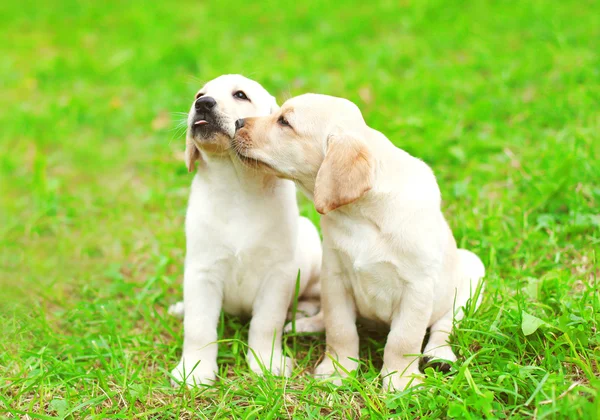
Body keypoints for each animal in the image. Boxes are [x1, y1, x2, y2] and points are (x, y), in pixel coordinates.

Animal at [169, 76, 324, 388]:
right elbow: (198, 327)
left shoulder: (277, 275)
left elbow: (266, 324)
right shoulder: (202, 271)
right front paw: (195, 370)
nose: (202, 104)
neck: (235, 185)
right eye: (199, 95)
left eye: (240, 95)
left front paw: (266, 362)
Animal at [232, 93, 486, 392]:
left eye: (285, 122)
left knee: (444, 324)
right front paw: (337, 370)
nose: (237, 122)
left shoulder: (417, 287)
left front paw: (400, 381)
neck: (361, 215)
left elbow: (403, 339)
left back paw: (440, 356)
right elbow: (340, 329)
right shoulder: (335, 277)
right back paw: (306, 325)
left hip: (471, 271)